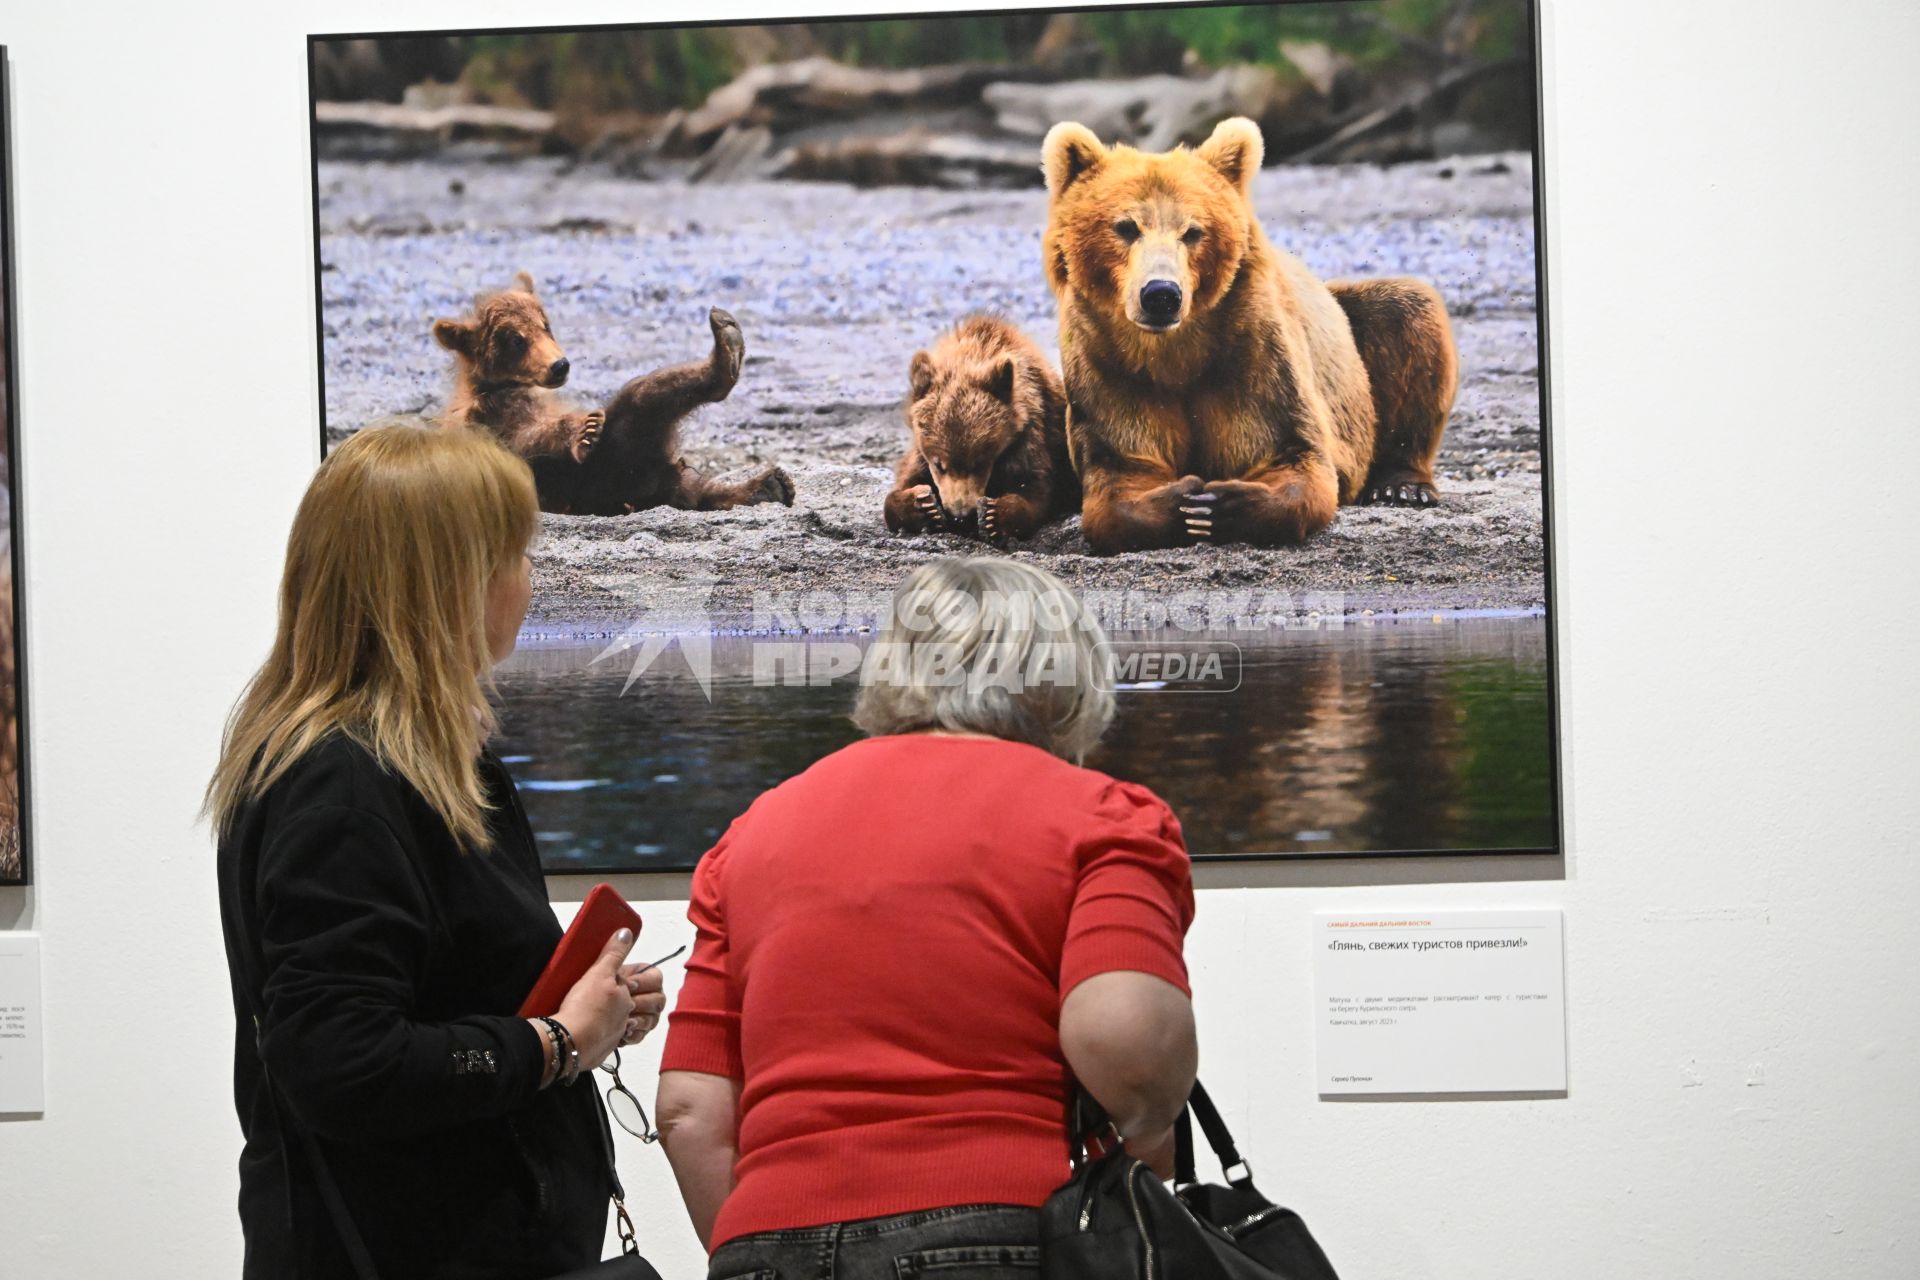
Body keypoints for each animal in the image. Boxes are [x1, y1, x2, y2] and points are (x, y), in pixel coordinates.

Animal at [1044, 113, 1459, 545]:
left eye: (1193, 231)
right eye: (1126, 227)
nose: (1161, 294)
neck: (1176, 353)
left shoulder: (1256, 355)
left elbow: (1294, 452)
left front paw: (1221, 505)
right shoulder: (1109, 366)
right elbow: (1121, 469)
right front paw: (1182, 503)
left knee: (1408, 311)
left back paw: (1401, 485)